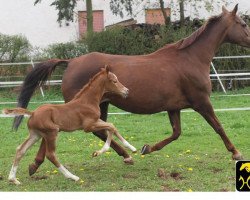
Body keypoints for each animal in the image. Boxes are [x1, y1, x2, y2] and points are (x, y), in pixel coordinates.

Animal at [3, 66, 137, 185]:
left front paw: (132, 148)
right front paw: (99, 152)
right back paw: (73, 177)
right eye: (114, 81)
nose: (126, 91)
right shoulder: (88, 126)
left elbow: (112, 126)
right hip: (52, 132)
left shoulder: (97, 120)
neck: (87, 101)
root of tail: (33, 113)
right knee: (51, 155)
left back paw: (13, 179)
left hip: (36, 134)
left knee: (20, 150)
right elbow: (110, 127)